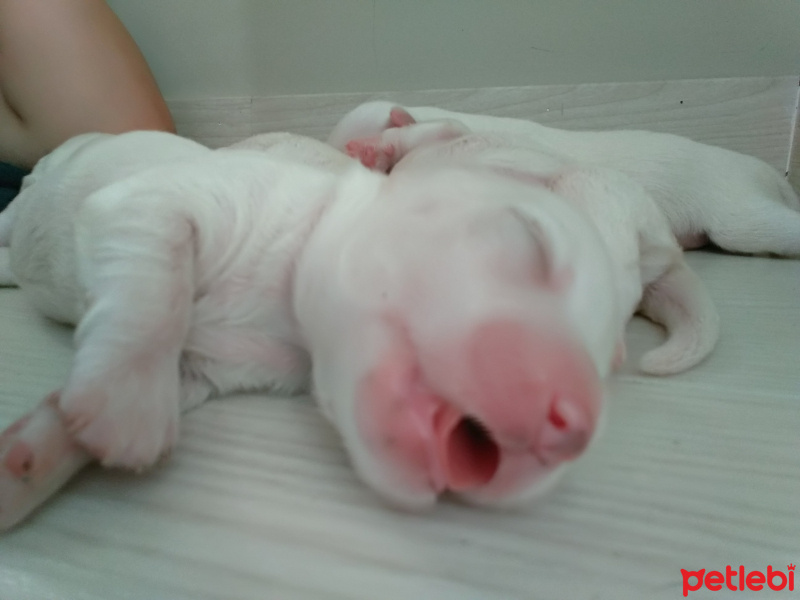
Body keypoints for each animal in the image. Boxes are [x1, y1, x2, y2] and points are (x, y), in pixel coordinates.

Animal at [0, 130, 652, 524]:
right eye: (530, 241)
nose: (574, 426)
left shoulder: (208, 368)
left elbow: (70, 416)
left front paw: (27, 459)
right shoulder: (165, 200)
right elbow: (155, 295)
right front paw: (128, 402)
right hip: (46, 187)